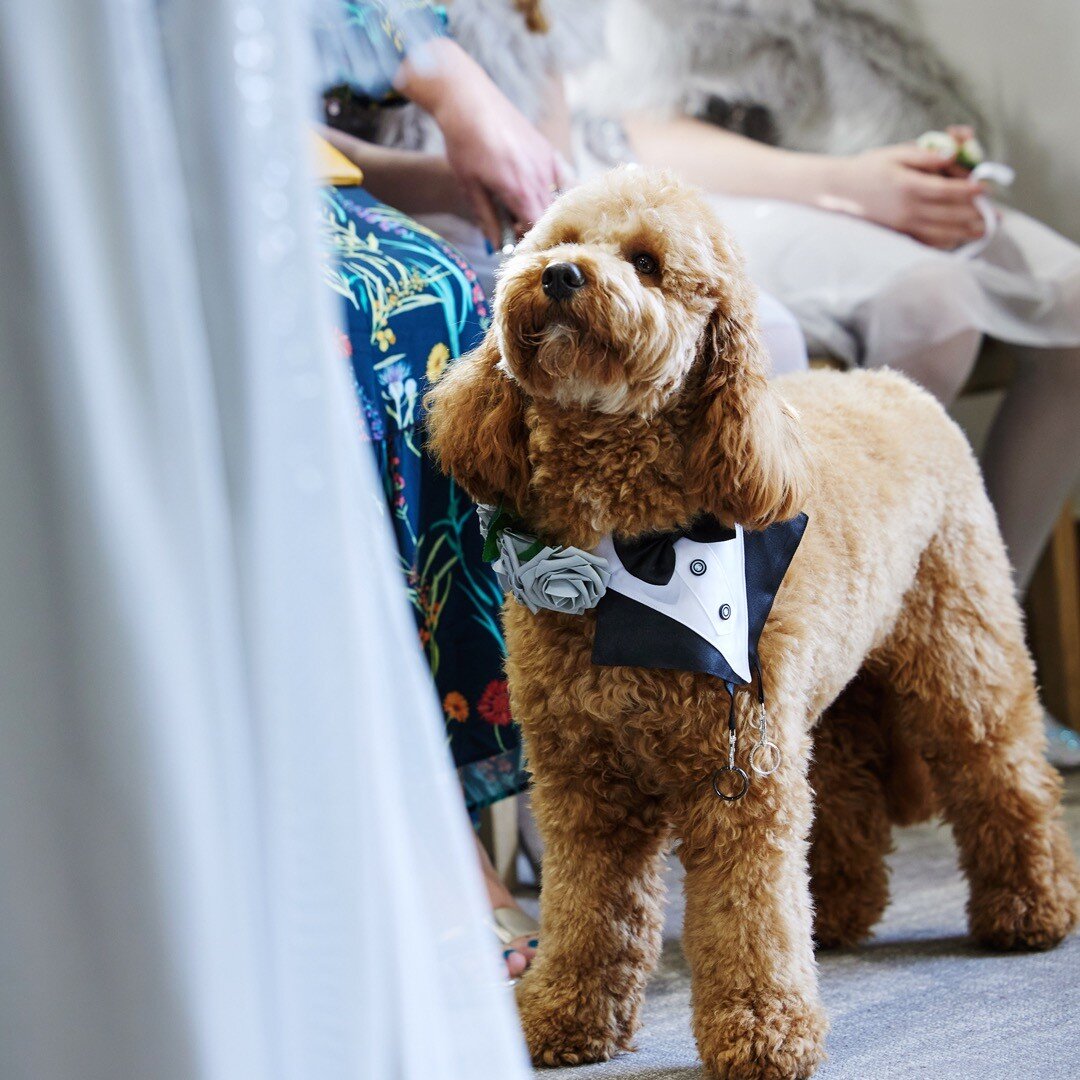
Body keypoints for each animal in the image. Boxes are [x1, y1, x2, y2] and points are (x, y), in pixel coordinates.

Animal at [425, 168, 1075, 1080]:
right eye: (561, 239)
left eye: (647, 263)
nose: (558, 276)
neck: (635, 555)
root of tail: (896, 382)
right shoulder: (582, 781)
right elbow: (591, 909)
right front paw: (564, 1015)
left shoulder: (736, 782)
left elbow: (748, 917)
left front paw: (765, 1030)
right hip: (828, 698)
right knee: (848, 788)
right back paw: (839, 908)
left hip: (960, 648)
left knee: (1001, 771)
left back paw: (1031, 907)